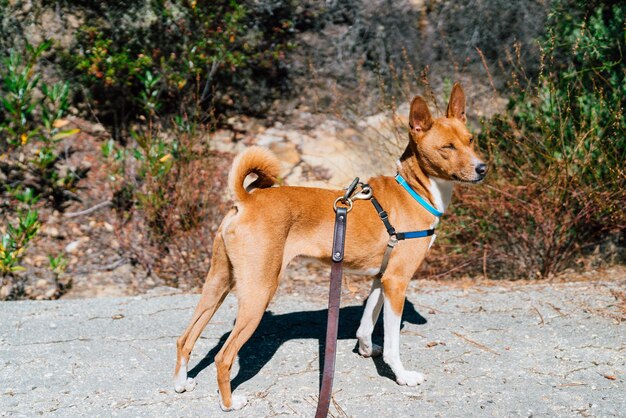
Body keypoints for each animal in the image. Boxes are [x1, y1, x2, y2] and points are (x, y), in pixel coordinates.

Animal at [173, 83, 486, 410]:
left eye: (470, 140)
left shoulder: (381, 278)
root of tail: (245, 200)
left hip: (218, 283)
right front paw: (402, 376)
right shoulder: (397, 281)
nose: (483, 168)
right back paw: (229, 402)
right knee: (223, 356)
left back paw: (182, 383)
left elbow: (366, 322)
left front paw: (365, 349)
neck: (414, 191)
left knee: (185, 338)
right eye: (447, 147)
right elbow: (392, 345)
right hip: (259, 292)